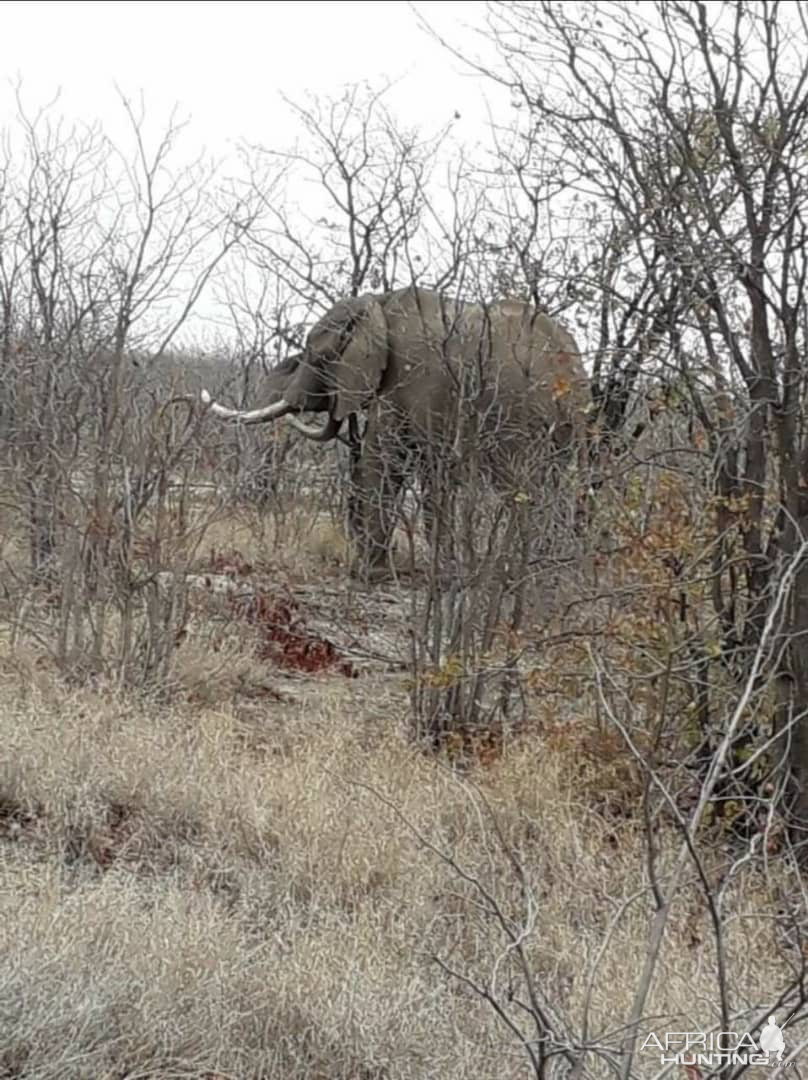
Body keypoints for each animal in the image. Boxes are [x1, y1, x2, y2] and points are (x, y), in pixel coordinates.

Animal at [202, 285, 591, 574]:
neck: (378, 304)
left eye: (317, 356)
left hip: (519, 419)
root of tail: (572, 371)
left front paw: (369, 572)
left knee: (521, 490)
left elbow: (387, 459)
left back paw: (516, 571)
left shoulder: (409, 377)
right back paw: (547, 569)